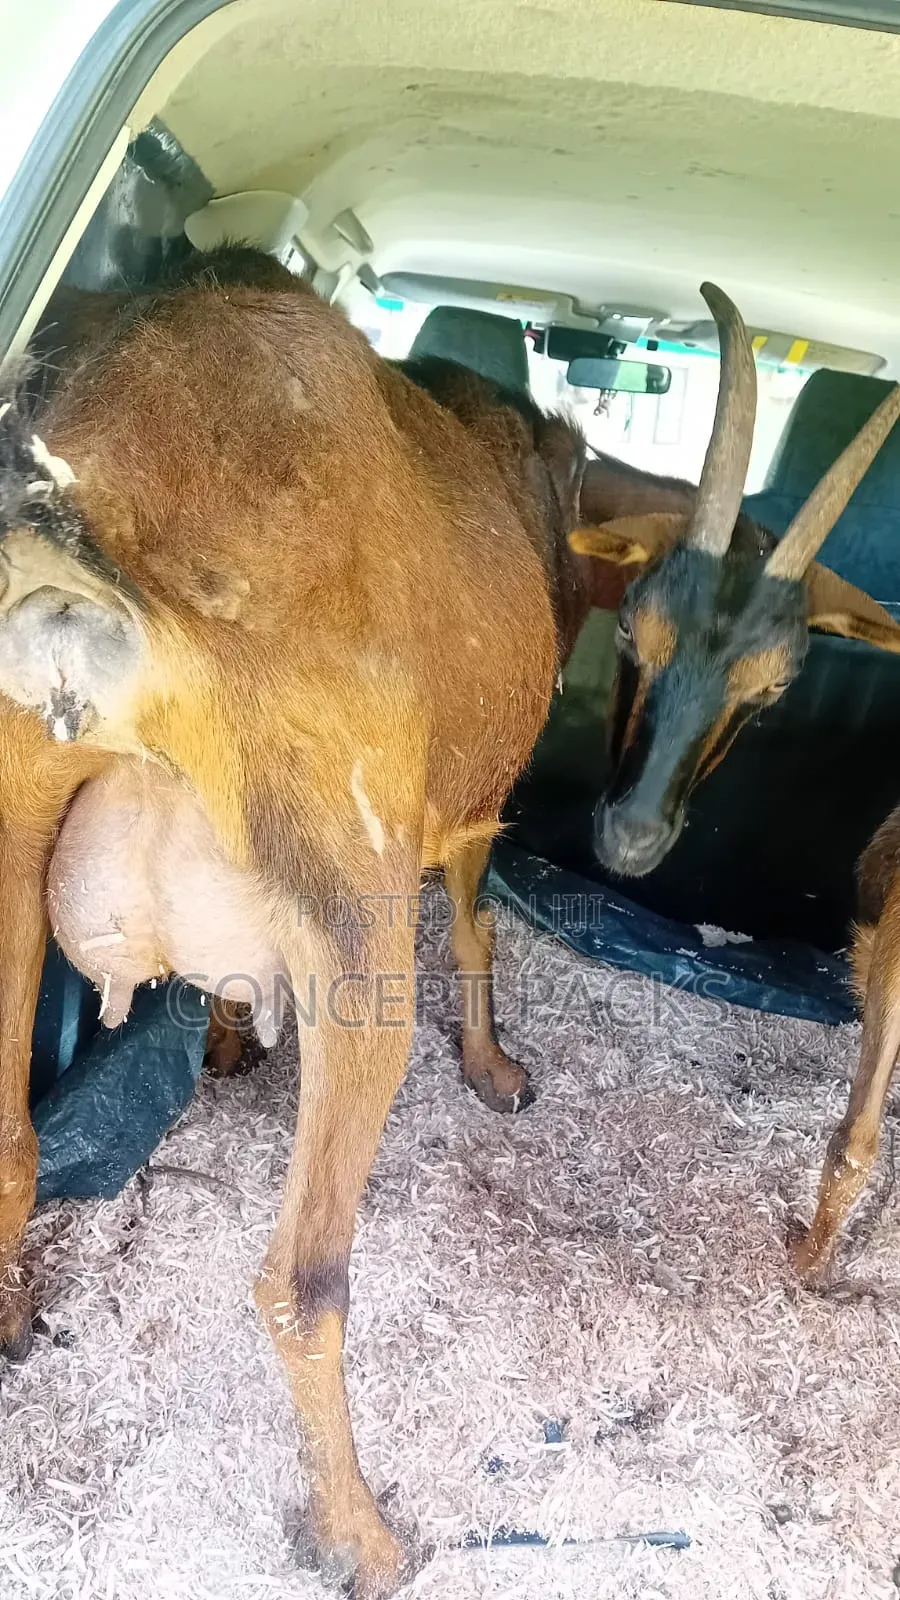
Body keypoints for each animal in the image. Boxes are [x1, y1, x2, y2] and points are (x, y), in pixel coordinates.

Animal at [0, 247, 588, 1597]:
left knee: (8, 1142)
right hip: (355, 906)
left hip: (13, 817)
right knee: (300, 1276)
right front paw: (497, 1068)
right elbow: (474, 924)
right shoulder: (461, 816)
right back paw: (358, 1530)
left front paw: (224, 1039)